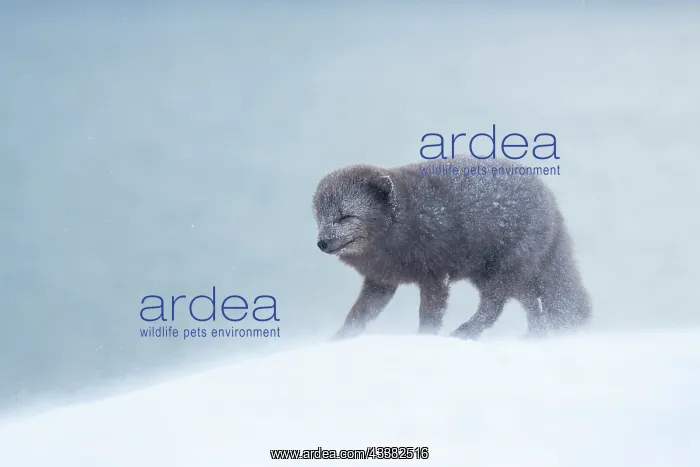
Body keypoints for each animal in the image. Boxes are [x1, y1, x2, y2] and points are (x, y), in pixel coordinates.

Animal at [311, 158, 591, 340]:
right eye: (320, 217)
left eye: (346, 216)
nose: (321, 243)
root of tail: (553, 206)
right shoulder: (381, 282)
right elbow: (358, 315)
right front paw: (338, 340)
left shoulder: (435, 277)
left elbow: (429, 315)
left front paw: (425, 340)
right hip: (502, 277)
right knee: (531, 303)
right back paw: (534, 336)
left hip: (501, 272)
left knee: (494, 307)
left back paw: (464, 333)